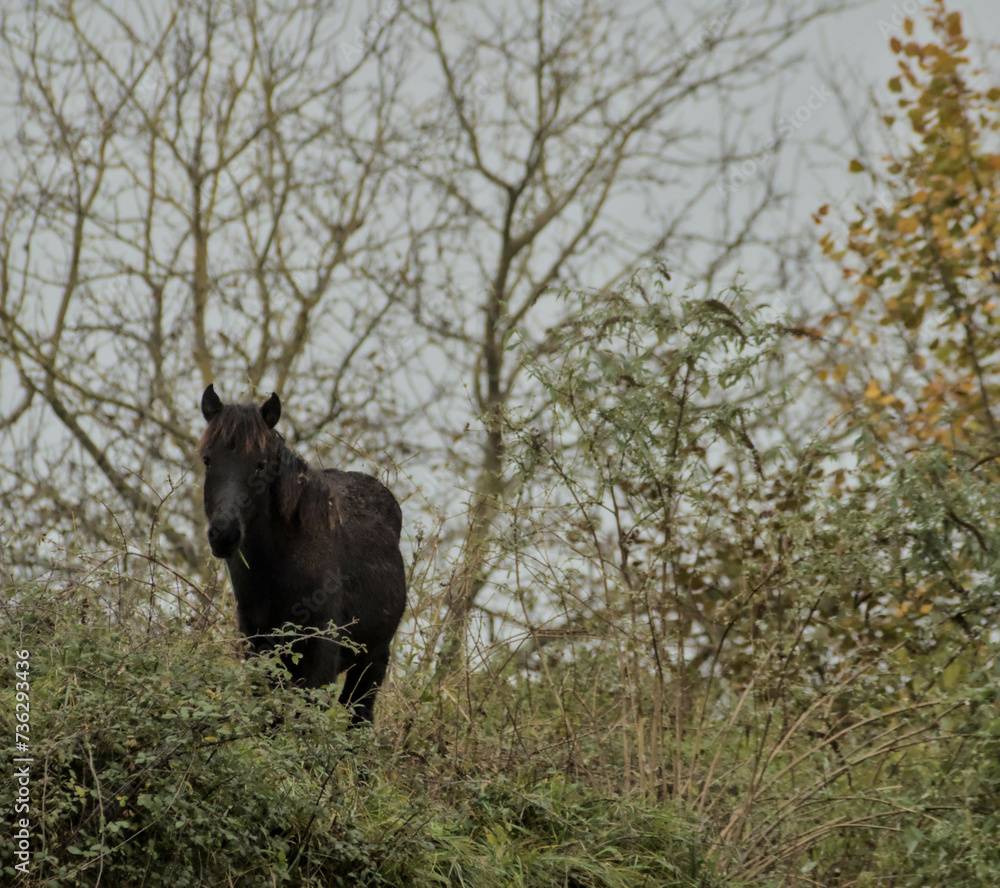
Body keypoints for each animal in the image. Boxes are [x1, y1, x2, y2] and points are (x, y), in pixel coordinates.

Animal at [198, 383, 406, 725]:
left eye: (261, 464)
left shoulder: (320, 658)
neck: (277, 571)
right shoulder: (258, 649)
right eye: (207, 460)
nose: (224, 534)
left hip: (371, 661)